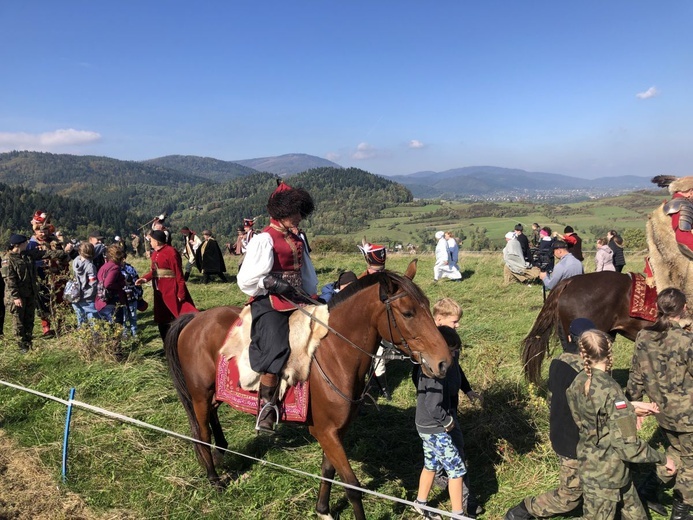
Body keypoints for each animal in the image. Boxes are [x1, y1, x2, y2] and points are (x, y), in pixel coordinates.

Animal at [165, 262, 452, 516]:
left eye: (428, 307)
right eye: (408, 313)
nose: (444, 362)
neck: (334, 353)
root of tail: (195, 318)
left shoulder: (335, 432)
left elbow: (328, 472)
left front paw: (323, 509)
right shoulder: (325, 432)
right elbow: (352, 486)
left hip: (211, 395)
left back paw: (221, 452)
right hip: (199, 395)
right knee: (201, 434)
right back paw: (214, 478)